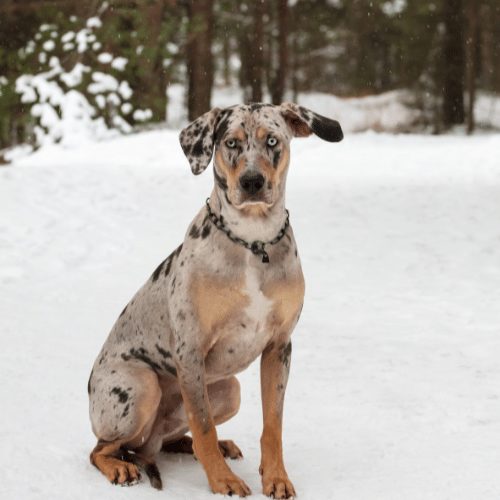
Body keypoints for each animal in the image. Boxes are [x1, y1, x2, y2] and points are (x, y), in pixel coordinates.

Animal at [88, 101, 342, 496]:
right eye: (231, 143)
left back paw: (210, 445)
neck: (253, 242)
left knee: (169, 440)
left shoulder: (279, 346)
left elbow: (273, 424)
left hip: (228, 390)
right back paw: (119, 467)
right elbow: (203, 425)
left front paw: (276, 477)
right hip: (140, 387)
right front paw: (223, 480)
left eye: (273, 140)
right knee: (101, 448)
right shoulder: (190, 349)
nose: (252, 182)